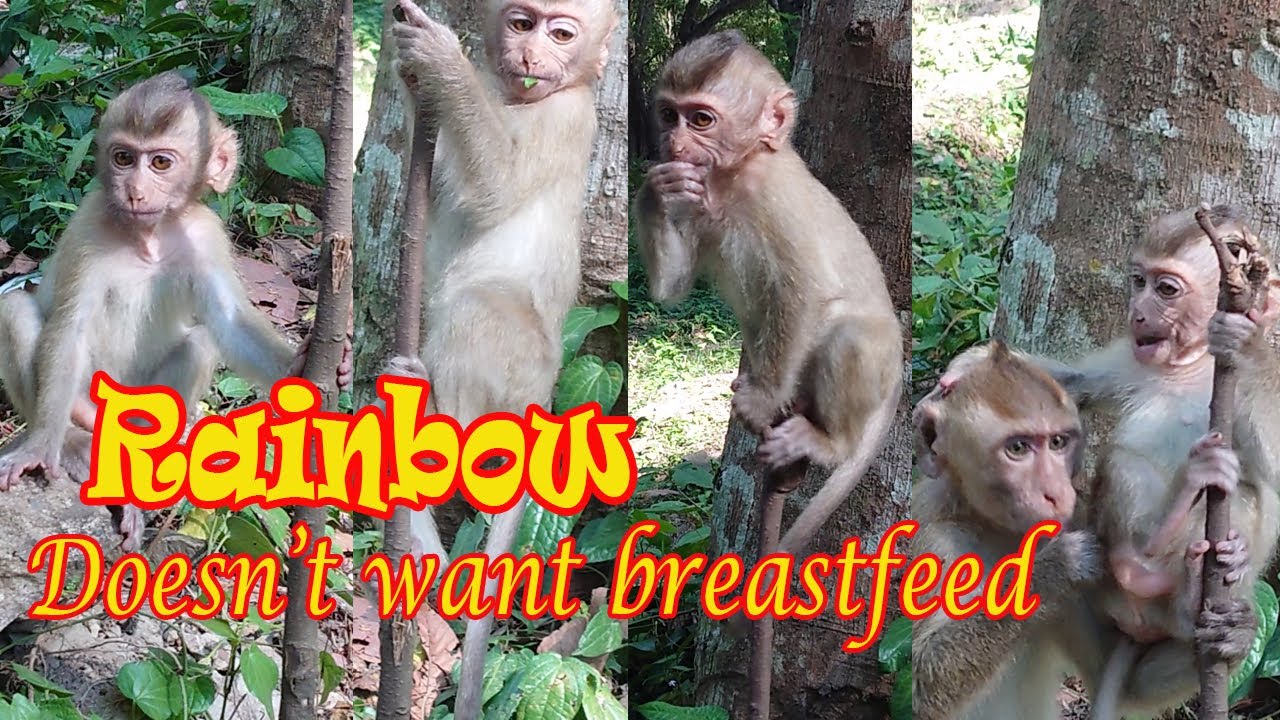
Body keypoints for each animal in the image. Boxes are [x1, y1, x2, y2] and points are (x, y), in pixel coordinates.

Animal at [0, 70, 352, 548]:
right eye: (124, 158)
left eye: (161, 164)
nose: (134, 191)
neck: (150, 234)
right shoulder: (89, 225)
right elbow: (69, 327)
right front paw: (40, 446)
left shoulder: (206, 234)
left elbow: (228, 321)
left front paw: (311, 363)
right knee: (16, 308)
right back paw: (71, 437)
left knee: (201, 343)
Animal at [386, 1, 617, 717]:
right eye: (523, 23)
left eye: (562, 33)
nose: (530, 56)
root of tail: (544, 396)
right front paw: (411, 73)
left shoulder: (570, 115)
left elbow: (497, 182)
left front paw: (438, 58)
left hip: (518, 363)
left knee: (475, 304)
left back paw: (429, 421)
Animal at [632, 30, 902, 560]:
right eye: (669, 114)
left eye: (701, 120)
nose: (672, 143)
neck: (735, 175)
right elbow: (672, 289)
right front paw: (655, 187)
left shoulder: (774, 197)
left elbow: (806, 290)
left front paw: (759, 404)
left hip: (874, 362)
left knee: (849, 334)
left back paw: (829, 442)